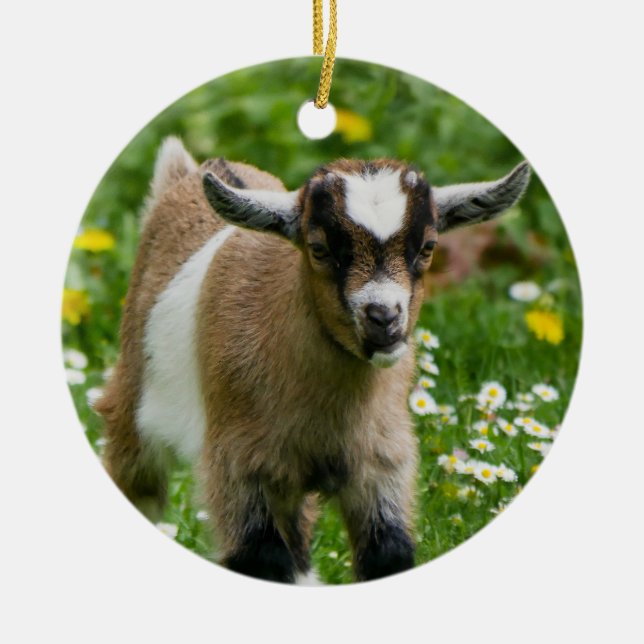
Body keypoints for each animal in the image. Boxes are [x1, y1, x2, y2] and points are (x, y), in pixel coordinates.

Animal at [96, 137, 530, 583]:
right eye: (319, 249)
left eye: (428, 247)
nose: (383, 319)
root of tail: (190, 172)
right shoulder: (238, 467)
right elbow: (262, 559)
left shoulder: (383, 464)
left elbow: (387, 555)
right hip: (133, 408)